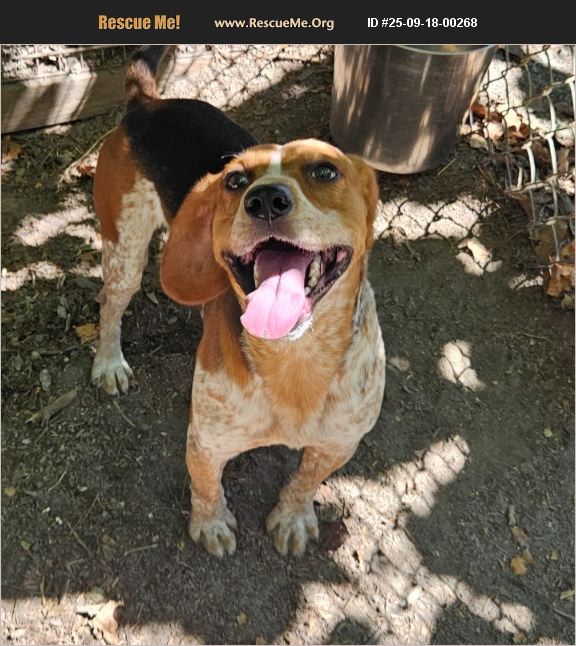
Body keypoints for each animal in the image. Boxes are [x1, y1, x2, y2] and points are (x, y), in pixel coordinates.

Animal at [92, 46, 386, 557]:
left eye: (326, 171)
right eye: (234, 180)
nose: (265, 199)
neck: (294, 361)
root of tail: (147, 104)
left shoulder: (339, 443)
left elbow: (306, 481)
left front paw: (293, 517)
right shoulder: (206, 440)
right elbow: (207, 486)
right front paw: (210, 524)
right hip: (124, 251)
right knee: (111, 306)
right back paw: (109, 362)